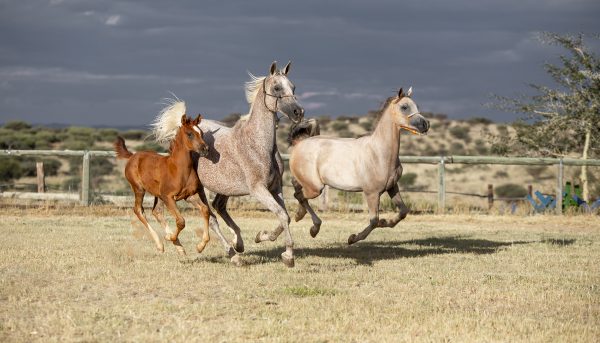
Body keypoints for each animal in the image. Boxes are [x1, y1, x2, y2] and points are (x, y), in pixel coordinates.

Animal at [115, 115, 211, 255]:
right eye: (189, 134)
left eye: (201, 133)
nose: (205, 149)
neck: (179, 169)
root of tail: (133, 156)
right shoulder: (168, 197)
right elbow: (181, 221)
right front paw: (169, 237)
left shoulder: (189, 196)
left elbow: (205, 210)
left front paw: (200, 246)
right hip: (139, 189)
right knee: (139, 210)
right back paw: (160, 244)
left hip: (158, 195)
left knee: (156, 212)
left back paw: (178, 247)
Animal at [290, 87, 426, 246]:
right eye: (404, 107)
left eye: (416, 105)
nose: (426, 125)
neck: (379, 153)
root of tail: (299, 143)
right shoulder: (372, 193)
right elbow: (374, 221)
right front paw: (352, 238)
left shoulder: (392, 187)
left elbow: (403, 211)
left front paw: (386, 222)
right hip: (315, 188)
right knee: (299, 195)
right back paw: (313, 228)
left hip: (308, 184)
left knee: (297, 191)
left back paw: (299, 215)